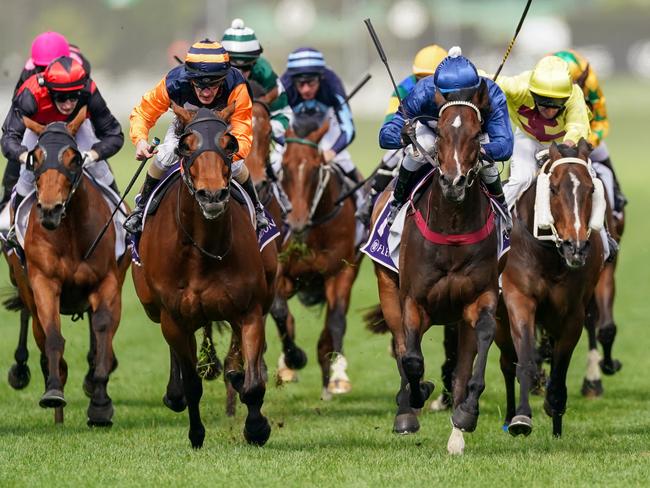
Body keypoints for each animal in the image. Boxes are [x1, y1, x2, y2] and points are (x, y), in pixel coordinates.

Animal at [4, 108, 129, 426]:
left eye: (74, 159)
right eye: (35, 158)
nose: (50, 210)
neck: (70, 233)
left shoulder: (107, 282)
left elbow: (102, 328)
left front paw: (100, 404)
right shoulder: (43, 283)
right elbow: (51, 334)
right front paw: (53, 391)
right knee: (34, 325)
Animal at [132, 105, 276, 448]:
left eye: (229, 143)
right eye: (187, 145)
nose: (212, 195)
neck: (202, 252)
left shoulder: (249, 310)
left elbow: (253, 383)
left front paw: (257, 428)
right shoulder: (173, 318)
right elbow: (192, 385)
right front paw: (196, 434)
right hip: (153, 308)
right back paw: (174, 393)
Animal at [274, 112, 362, 398]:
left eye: (315, 168)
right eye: (285, 167)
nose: (296, 222)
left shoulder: (341, 271)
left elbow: (336, 323)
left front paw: (337, 377)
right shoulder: (282, 273)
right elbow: (281, 313)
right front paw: (293, 359)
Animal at [370, 84, 496, 454]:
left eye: (476, 133)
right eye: (439, 132)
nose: (454, 183)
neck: (452, 227)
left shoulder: (480, 297)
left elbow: (478, 349)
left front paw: (467, 414)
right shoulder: (414, 300)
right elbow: (411, 359)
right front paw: (414, 399)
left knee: (460, 366)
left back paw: (456, 434)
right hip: (388, 288)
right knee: (401, 346)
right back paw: (407, 407)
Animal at [494, 139, 604, 436]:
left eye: (591, 189)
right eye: (553, 188)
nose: (575, 247)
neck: (549, 254)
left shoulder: (572, 313)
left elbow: (560, 366)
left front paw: (554, 411)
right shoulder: (519, 299)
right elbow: (524, 360)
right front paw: (521, 418)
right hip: (498, 319)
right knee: (507, 363)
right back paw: (509, 417)